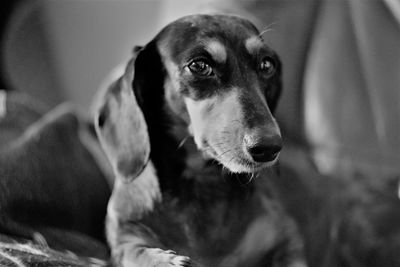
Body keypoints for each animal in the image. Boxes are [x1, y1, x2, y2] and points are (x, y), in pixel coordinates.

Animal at [94, 14, 306, 267]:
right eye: (199, 65)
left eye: (267, 64)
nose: (269, 147)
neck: (202, 184)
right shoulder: (124, 237)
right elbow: (135, 253)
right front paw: (165, 260)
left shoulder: (285, 238)